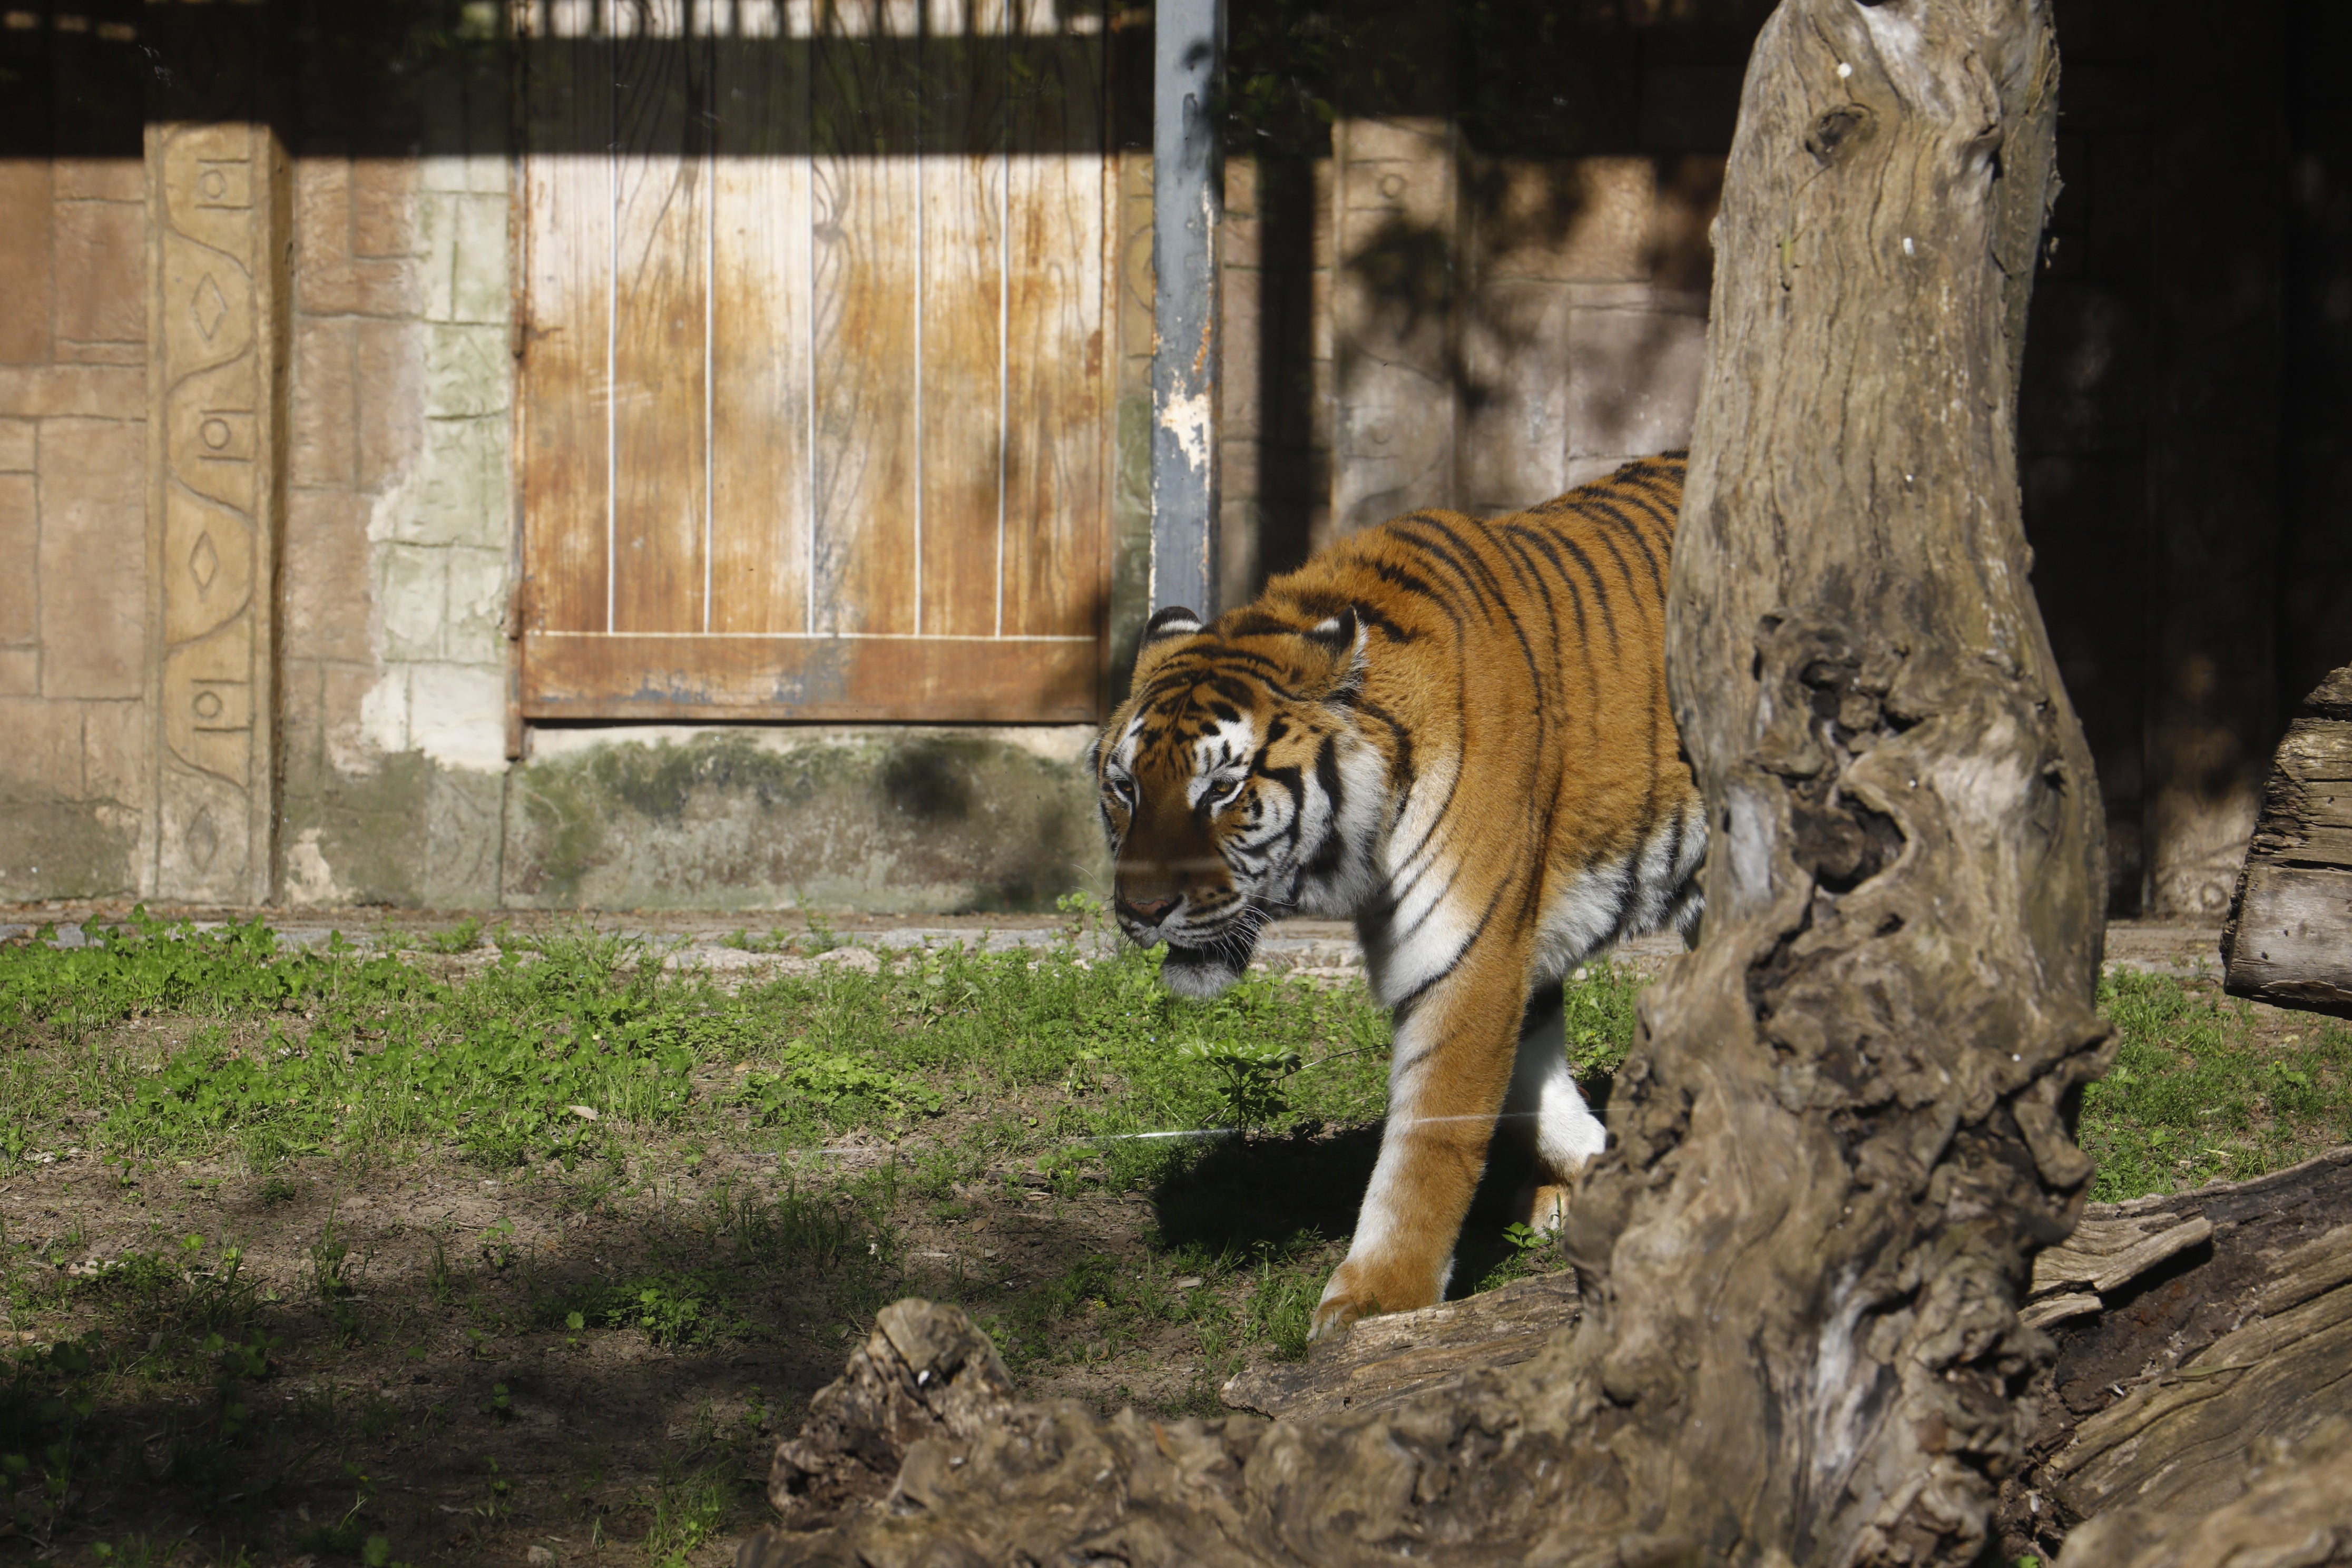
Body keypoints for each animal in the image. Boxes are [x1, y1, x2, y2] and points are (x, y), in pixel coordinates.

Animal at [1091, 451, 1702, 1335]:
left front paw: (1378, 1298)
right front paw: (1596, 1173)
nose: (1140, 913)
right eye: (1126, 789)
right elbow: (1536, 1078)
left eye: (1222, 791)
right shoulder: (1513, 948)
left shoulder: (1466, 951)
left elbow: (1432, 1138)